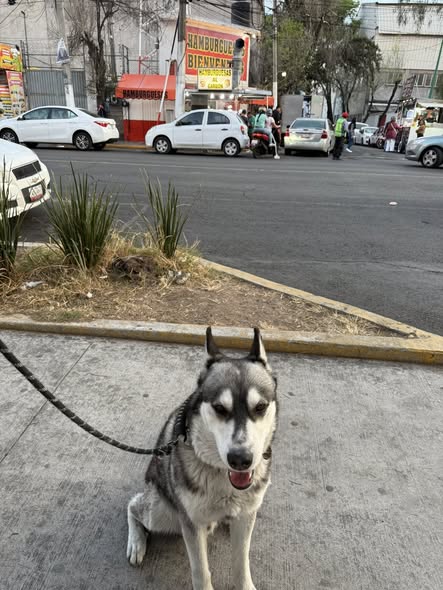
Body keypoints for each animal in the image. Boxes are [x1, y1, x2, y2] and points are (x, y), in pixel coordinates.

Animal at [126, 327, 278, 590]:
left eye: (260, 407)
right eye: (220, 408)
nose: (241, 459)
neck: (223, 480)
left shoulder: (247, 516)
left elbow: (241, 562)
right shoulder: (191, 524)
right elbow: (201, 570)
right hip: (162, 513)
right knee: (133, 506)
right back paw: (136, 542)